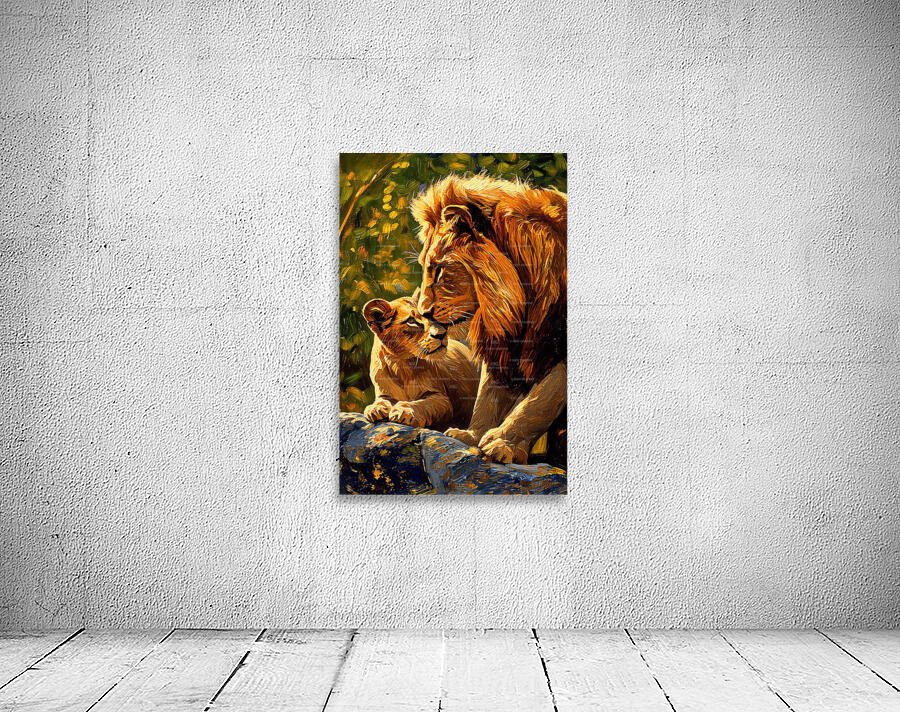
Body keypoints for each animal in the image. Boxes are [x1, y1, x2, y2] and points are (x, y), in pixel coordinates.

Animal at [362, 293, 479, 431]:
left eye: (433, 318)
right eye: (411, 321)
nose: (441, 334)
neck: (401, 365)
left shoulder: (442, 399)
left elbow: (423, 404)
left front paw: (405, 410)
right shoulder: (384, 393)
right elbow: (381, 400)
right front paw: (375, 408)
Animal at [410, 174, 567, 465]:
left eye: (439, 270)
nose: (423, 312)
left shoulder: (557, 349)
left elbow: (538, 402)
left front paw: (504, 443)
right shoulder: (502, 343)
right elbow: (488, 395)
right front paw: (472, 435)